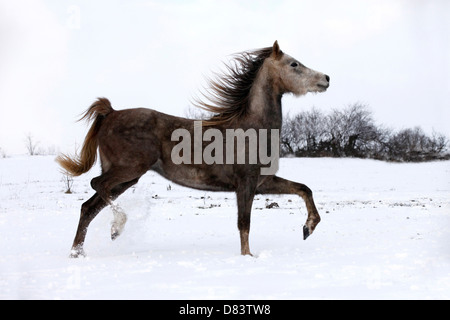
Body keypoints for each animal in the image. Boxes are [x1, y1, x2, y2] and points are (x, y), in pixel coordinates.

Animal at [58, 42, 328, 258]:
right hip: (128, 170)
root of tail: (111, 113)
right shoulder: (246, 183)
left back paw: (77, 253)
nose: (326, 79)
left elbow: (304, 189)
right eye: (294, 64)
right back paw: (116, 227)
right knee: (97, 186)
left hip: (126, 178)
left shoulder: (263, 182)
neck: (251, 129)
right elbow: (244, 223)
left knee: (88, 207)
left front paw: (308, 228)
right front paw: (247, 256)